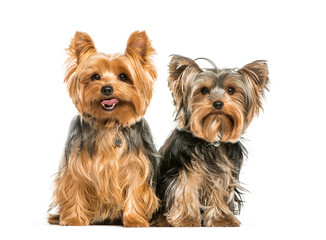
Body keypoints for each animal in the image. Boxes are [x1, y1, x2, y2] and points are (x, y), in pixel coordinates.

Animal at [48, 30, 159, 227]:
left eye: (123, 77)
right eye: (95, 77)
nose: (107, 89)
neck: (109, 124)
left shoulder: (136, 165)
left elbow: (135, 189)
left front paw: (134, 219)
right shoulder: (77, 164)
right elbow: (75, 186)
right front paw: (74, 219)